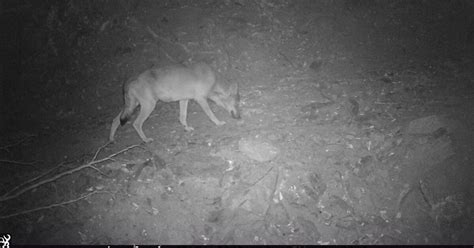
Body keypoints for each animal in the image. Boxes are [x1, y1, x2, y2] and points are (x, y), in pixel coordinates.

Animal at [110, 63, 241, 142]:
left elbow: (182, 117)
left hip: (132, 106)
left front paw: (187, 129)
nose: (239, 117)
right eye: (237, 103)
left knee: (115, 120)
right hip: (148, 106)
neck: (214, 80)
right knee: (136, 124)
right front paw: (218, 123)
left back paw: (111, 140)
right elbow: (211, 114)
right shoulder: (201, 99)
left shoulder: (184, 100)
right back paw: (146, 140)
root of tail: (131, 79)